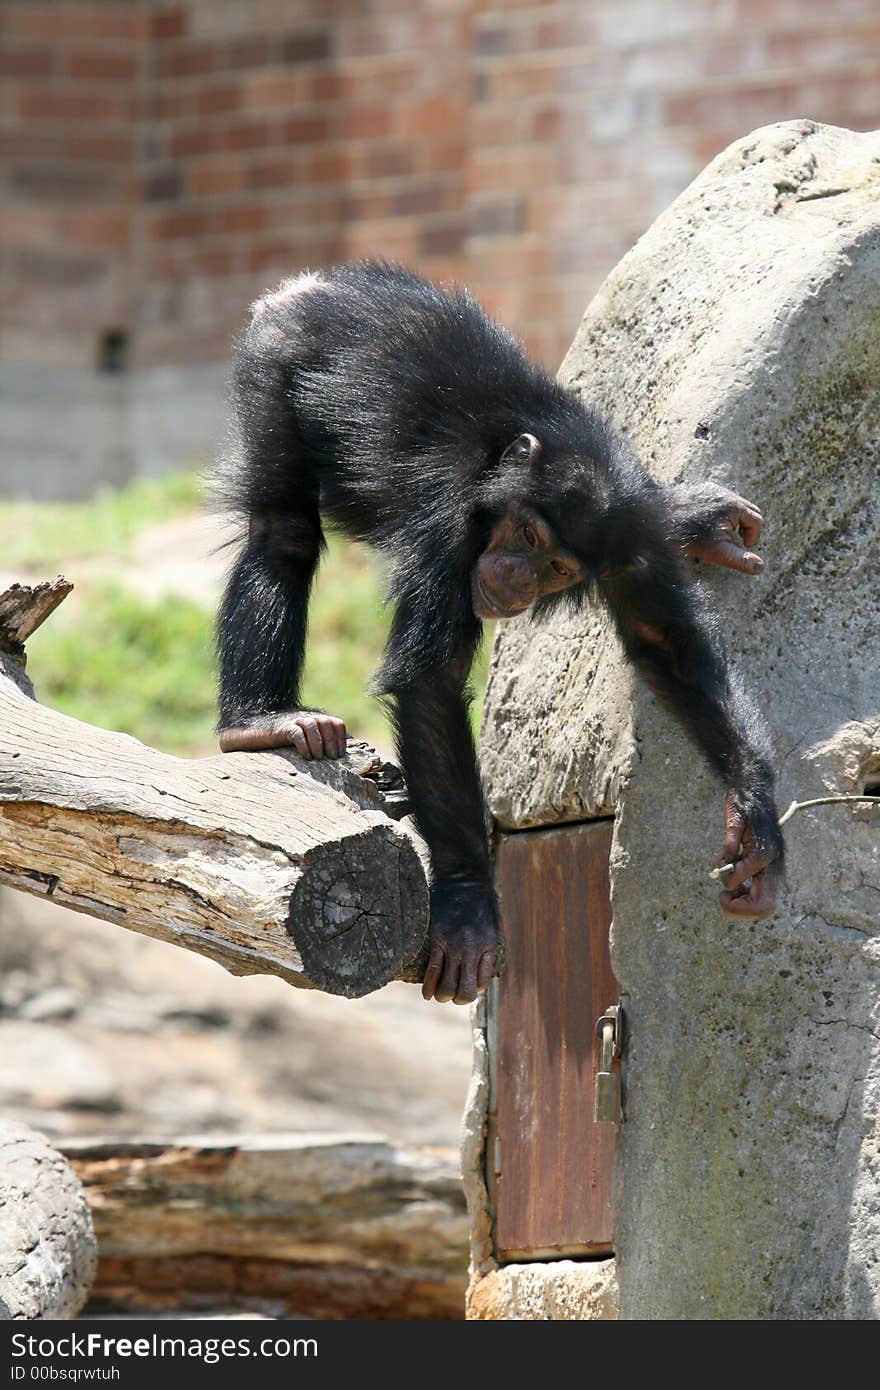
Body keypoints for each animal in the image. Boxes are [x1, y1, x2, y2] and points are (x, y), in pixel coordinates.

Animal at [214, 258, 784, 1000]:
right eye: (527, 534)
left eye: (557, 564)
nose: (518, 576)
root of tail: (314, 283)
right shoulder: (446, 518)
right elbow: (433, 681)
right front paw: (467, 906)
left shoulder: (629, 538)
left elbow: (668, 643)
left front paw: (755, 821)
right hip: (276, 356)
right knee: (282, 531)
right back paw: (260, 720)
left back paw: (694, 516)